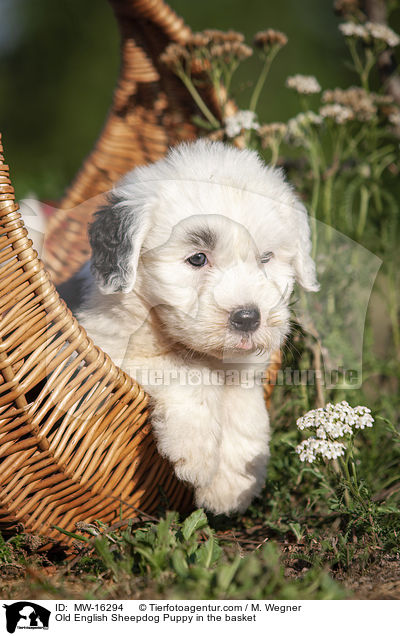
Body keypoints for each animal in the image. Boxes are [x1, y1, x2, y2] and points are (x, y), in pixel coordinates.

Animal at [76, 140, 318, 516]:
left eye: (265, 258)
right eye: (198, 258)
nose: (248, 318)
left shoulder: (245, 369)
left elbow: (244, 409)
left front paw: (233, 484)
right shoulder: (110, 351)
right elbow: (186, 370)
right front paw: (198, 454)